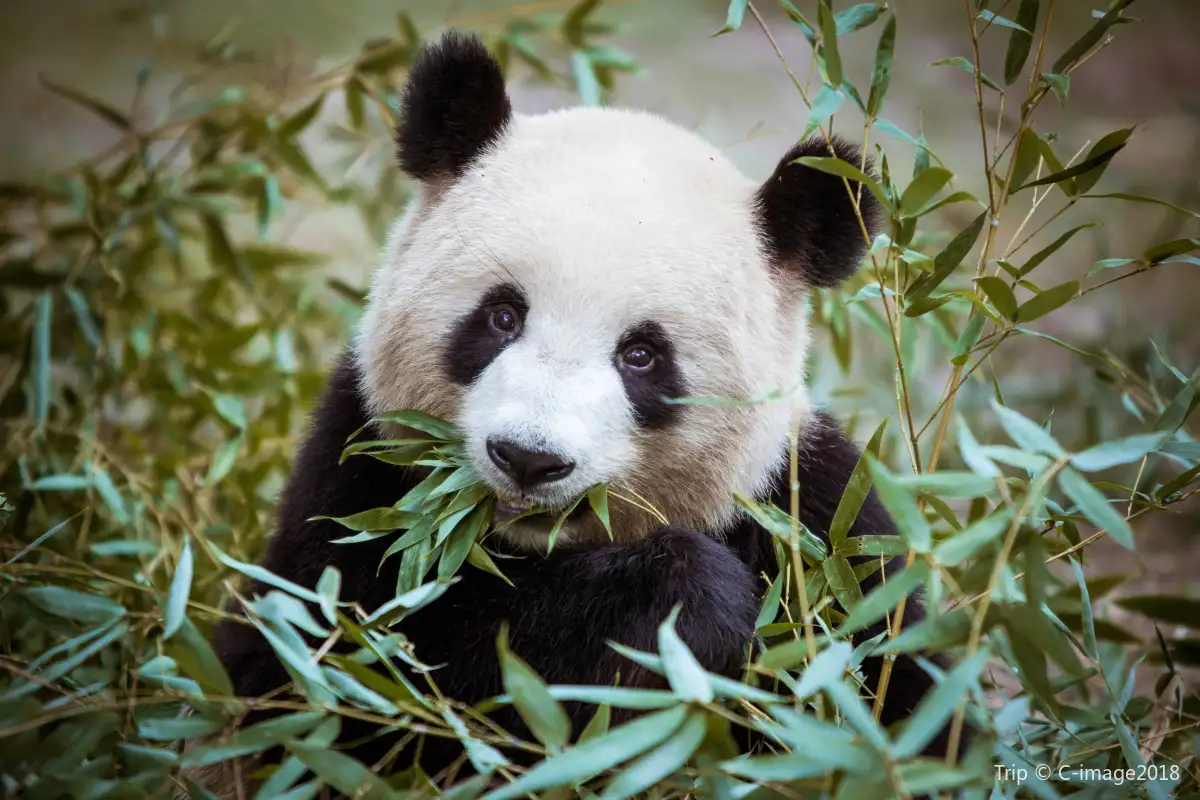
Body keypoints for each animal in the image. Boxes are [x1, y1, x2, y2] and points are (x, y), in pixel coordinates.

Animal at [197, 30, 960, 795]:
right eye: (502, 315)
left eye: (642, 355)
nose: (528, 457)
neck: (533, 548)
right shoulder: (359, 474)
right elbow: (357, 683)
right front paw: (687, 602)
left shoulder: (818, 524)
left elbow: (899, 700)